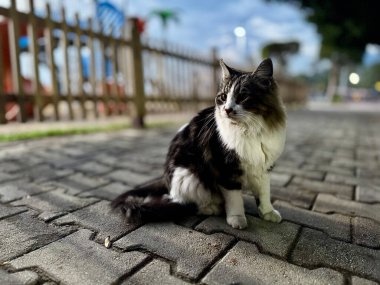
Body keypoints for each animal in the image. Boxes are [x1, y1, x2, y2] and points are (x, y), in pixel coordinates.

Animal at [111, 58, 286, 229]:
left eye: (243, 97)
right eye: (223, 97)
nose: (227, 109)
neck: (249, 130)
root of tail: (165, 178)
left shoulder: (265, 168)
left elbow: (264, 194)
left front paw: (267, 212)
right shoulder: (226, 170)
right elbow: (235, 199)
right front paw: (237, 218)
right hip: (190, 177)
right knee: (189, 204)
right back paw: (213, 207)